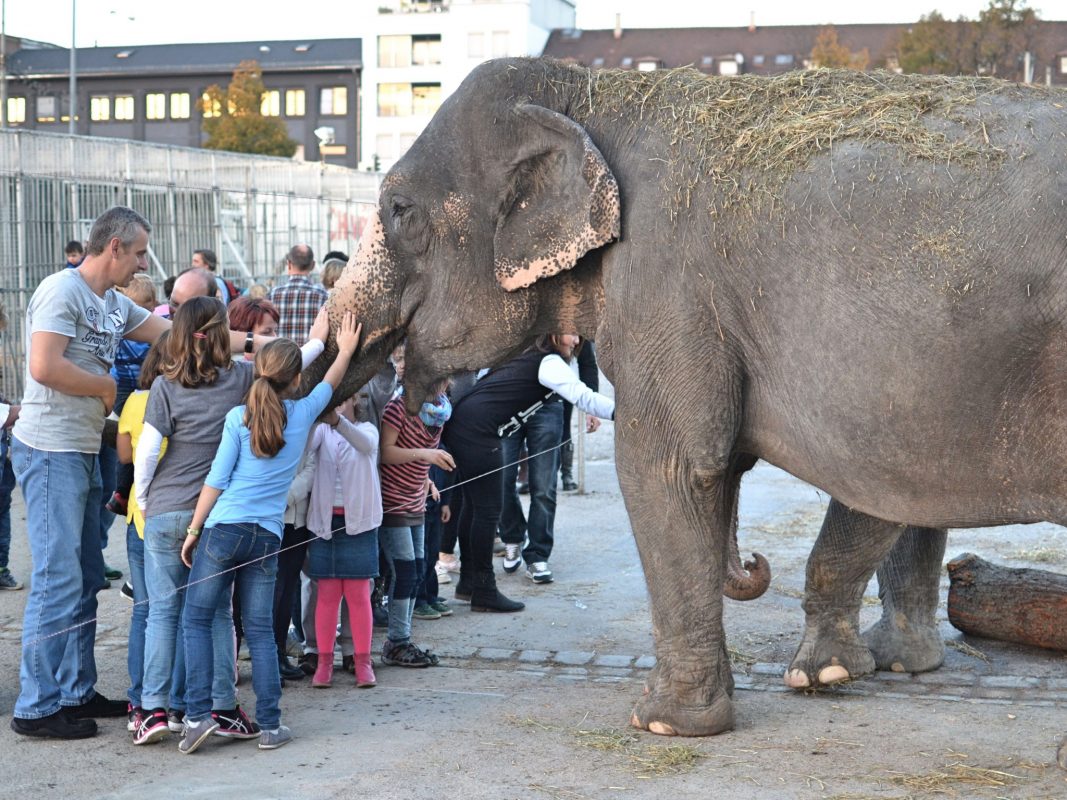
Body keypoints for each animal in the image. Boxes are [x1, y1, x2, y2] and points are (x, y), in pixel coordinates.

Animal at [298, 57, 1067, 763]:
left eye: (400, 211)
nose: (751, 560)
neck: (595, 91)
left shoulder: (665, 285)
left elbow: (667, 467)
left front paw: (665, 723)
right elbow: (880, 485)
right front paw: (853, 670)